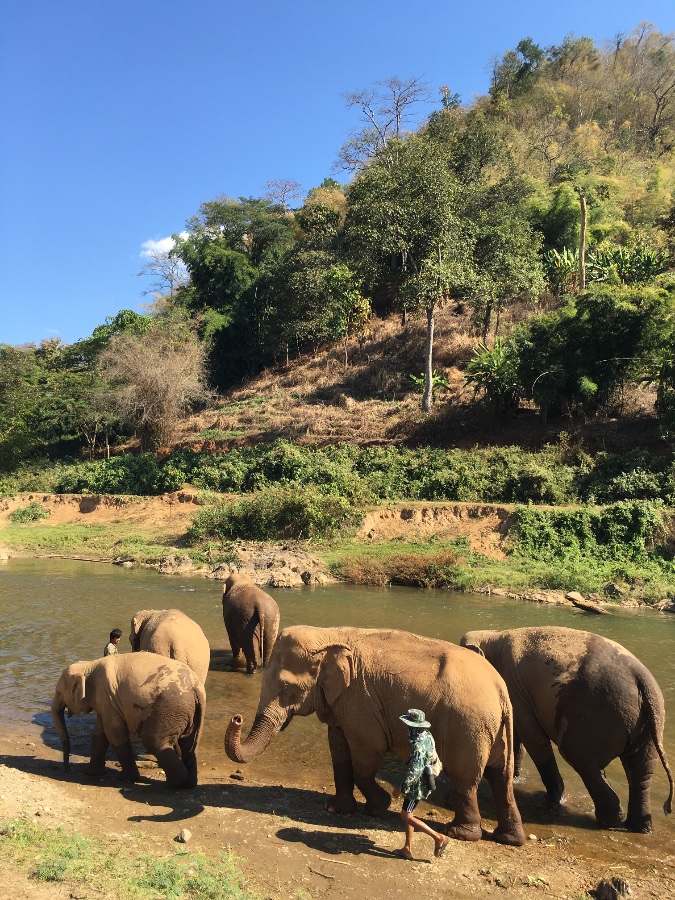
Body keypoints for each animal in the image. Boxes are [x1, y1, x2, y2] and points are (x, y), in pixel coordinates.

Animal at [51, 651, 206, 788]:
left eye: (59, 693)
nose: (67, 769)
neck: (89, 665)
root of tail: (196, 687)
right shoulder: (106, 701)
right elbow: (101, 733)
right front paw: (90, 773)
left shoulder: (107, 695)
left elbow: (114, 732)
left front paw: (126, 779)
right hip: (189, 713)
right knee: (189, 745)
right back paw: (187, 785)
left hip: (169, 709)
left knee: (154, 741)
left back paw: (175, 783)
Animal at [225, 626, 526, 846]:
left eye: (286, 689)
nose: (236, 717)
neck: (329, 635)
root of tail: (501, 690)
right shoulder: (342, 704)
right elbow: (339, 752)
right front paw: (335, 809)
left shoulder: (361, 703)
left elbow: (365, 756)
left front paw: (379, 807)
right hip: (495, 730)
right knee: (501, 778)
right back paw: (509, 838)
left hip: (467, 728)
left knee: (466, 780)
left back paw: (459, 833)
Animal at [459, 626, 674, 833]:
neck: (493, 634)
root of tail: (642, 679)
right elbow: (518, 735)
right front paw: (515, 779)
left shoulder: (515, 687)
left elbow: (532, 737)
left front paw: (553, 798)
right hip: (649, 723)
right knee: (641, 772)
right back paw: (639, 827)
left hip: (593, 716)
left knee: (582, 762)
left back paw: (608, 821)